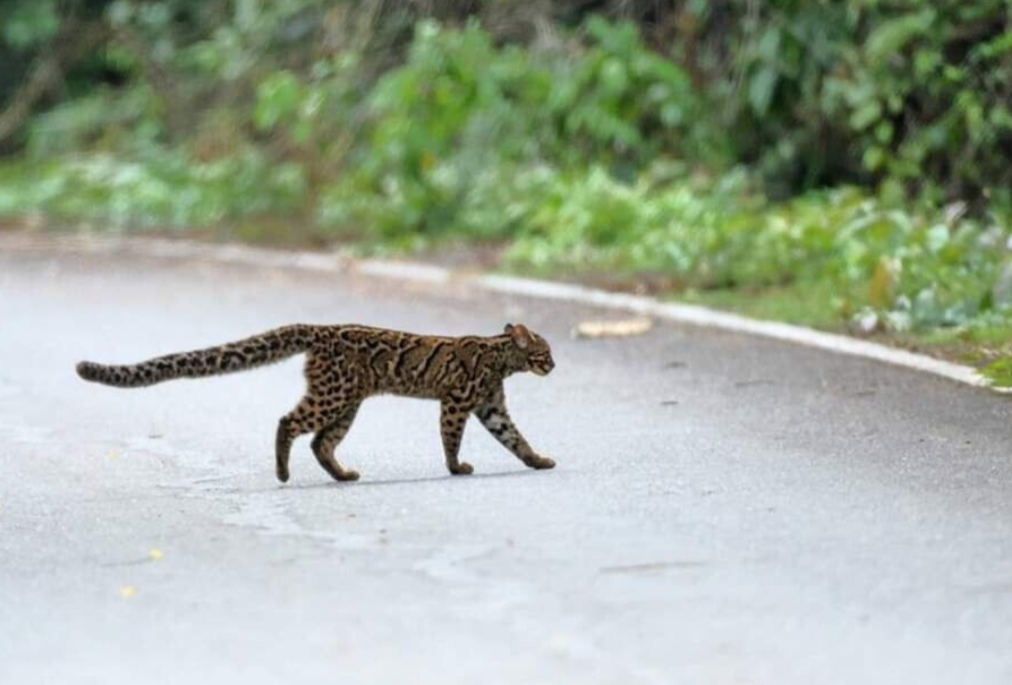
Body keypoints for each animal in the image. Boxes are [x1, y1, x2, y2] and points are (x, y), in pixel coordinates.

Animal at [75, 321, 558, 477]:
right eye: (546, 351)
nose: (554, 365)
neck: (501, 356)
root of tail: (318, 329)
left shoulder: (491, 406)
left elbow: (515, 438)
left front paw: (538, 460)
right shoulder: (457, 401)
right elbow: (450, 437)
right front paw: (456, 468)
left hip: (346, 402)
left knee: (320, 442)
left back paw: (341, 475)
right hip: (334, 395)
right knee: (288, 422)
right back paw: (283, 472)